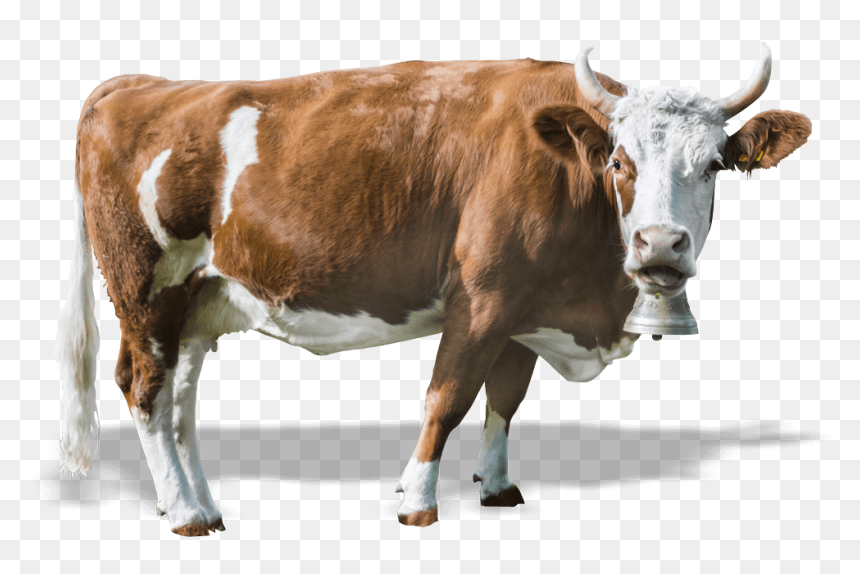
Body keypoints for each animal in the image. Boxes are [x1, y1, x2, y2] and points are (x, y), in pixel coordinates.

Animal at [56, 43, 810, 535]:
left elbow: (505, 399)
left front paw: (498, 486)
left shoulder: (526, 312)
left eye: (714, 165)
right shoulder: (481, 298)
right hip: (146, 291)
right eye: (619, 162)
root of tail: (139, 83)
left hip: (199, 303)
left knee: (179, 402)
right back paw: (183, 513)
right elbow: (447, 399)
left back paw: (201, 505)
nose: (660, 245)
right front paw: (416, 501)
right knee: (144, 389)